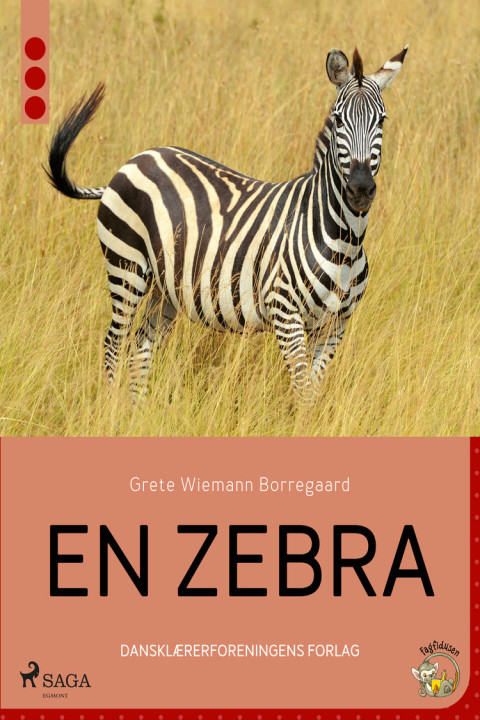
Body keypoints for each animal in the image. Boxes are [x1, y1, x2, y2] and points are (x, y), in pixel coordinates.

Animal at [45, 45, 407, 401]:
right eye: (338, 119)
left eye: (382, 120)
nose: (360, 189)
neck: (344, 239)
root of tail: (132, 162)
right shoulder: (285, 311)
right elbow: (303, 390)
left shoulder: (335, 325)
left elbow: (312, 392)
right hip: (126, 268)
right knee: (113, 345)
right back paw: (111, 411)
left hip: (165, 289)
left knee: (140, 352)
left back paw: (138, 412)